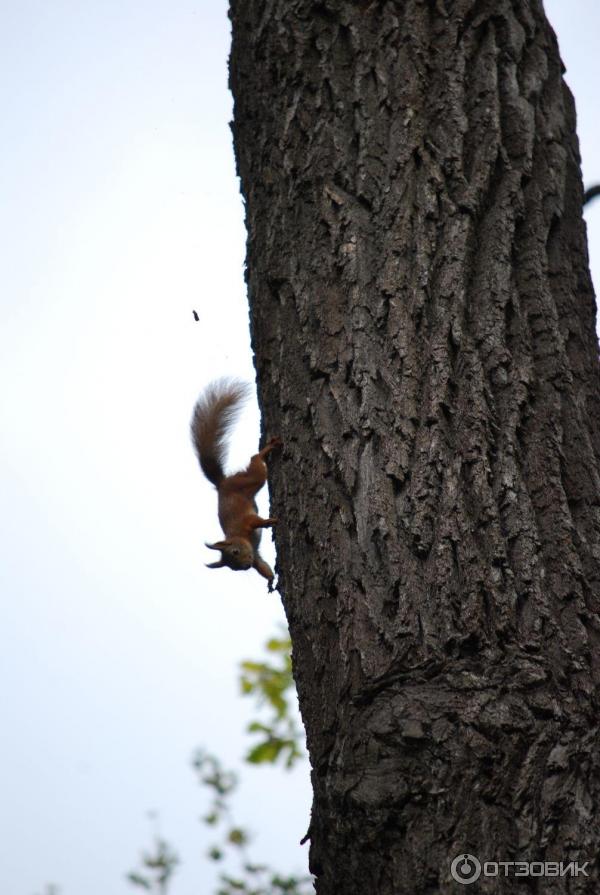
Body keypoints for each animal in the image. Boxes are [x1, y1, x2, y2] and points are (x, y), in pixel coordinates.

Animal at [190, 380, 282, 596]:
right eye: (233, 568)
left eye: (235, 551)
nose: (246, 566)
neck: (238, 536)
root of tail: (222, 483)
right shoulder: (256, 555)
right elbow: (263, 567)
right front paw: (270, 581)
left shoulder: (246, 522)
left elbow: (256, 521)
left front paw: (269, 521)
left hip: (251, 480)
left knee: (255, 461)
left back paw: (266, 450)